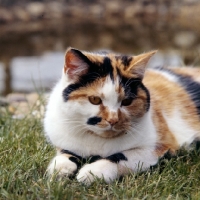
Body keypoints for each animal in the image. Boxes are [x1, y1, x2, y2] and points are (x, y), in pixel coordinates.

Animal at [43, 47, 200, 185]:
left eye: (127, 101)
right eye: (95, 100)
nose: (113, 119)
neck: (99, 142)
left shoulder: (157, 147)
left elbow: (120, 157)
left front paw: (92, 173)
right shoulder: (65, 142)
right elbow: (66, 153)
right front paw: (59, 169)